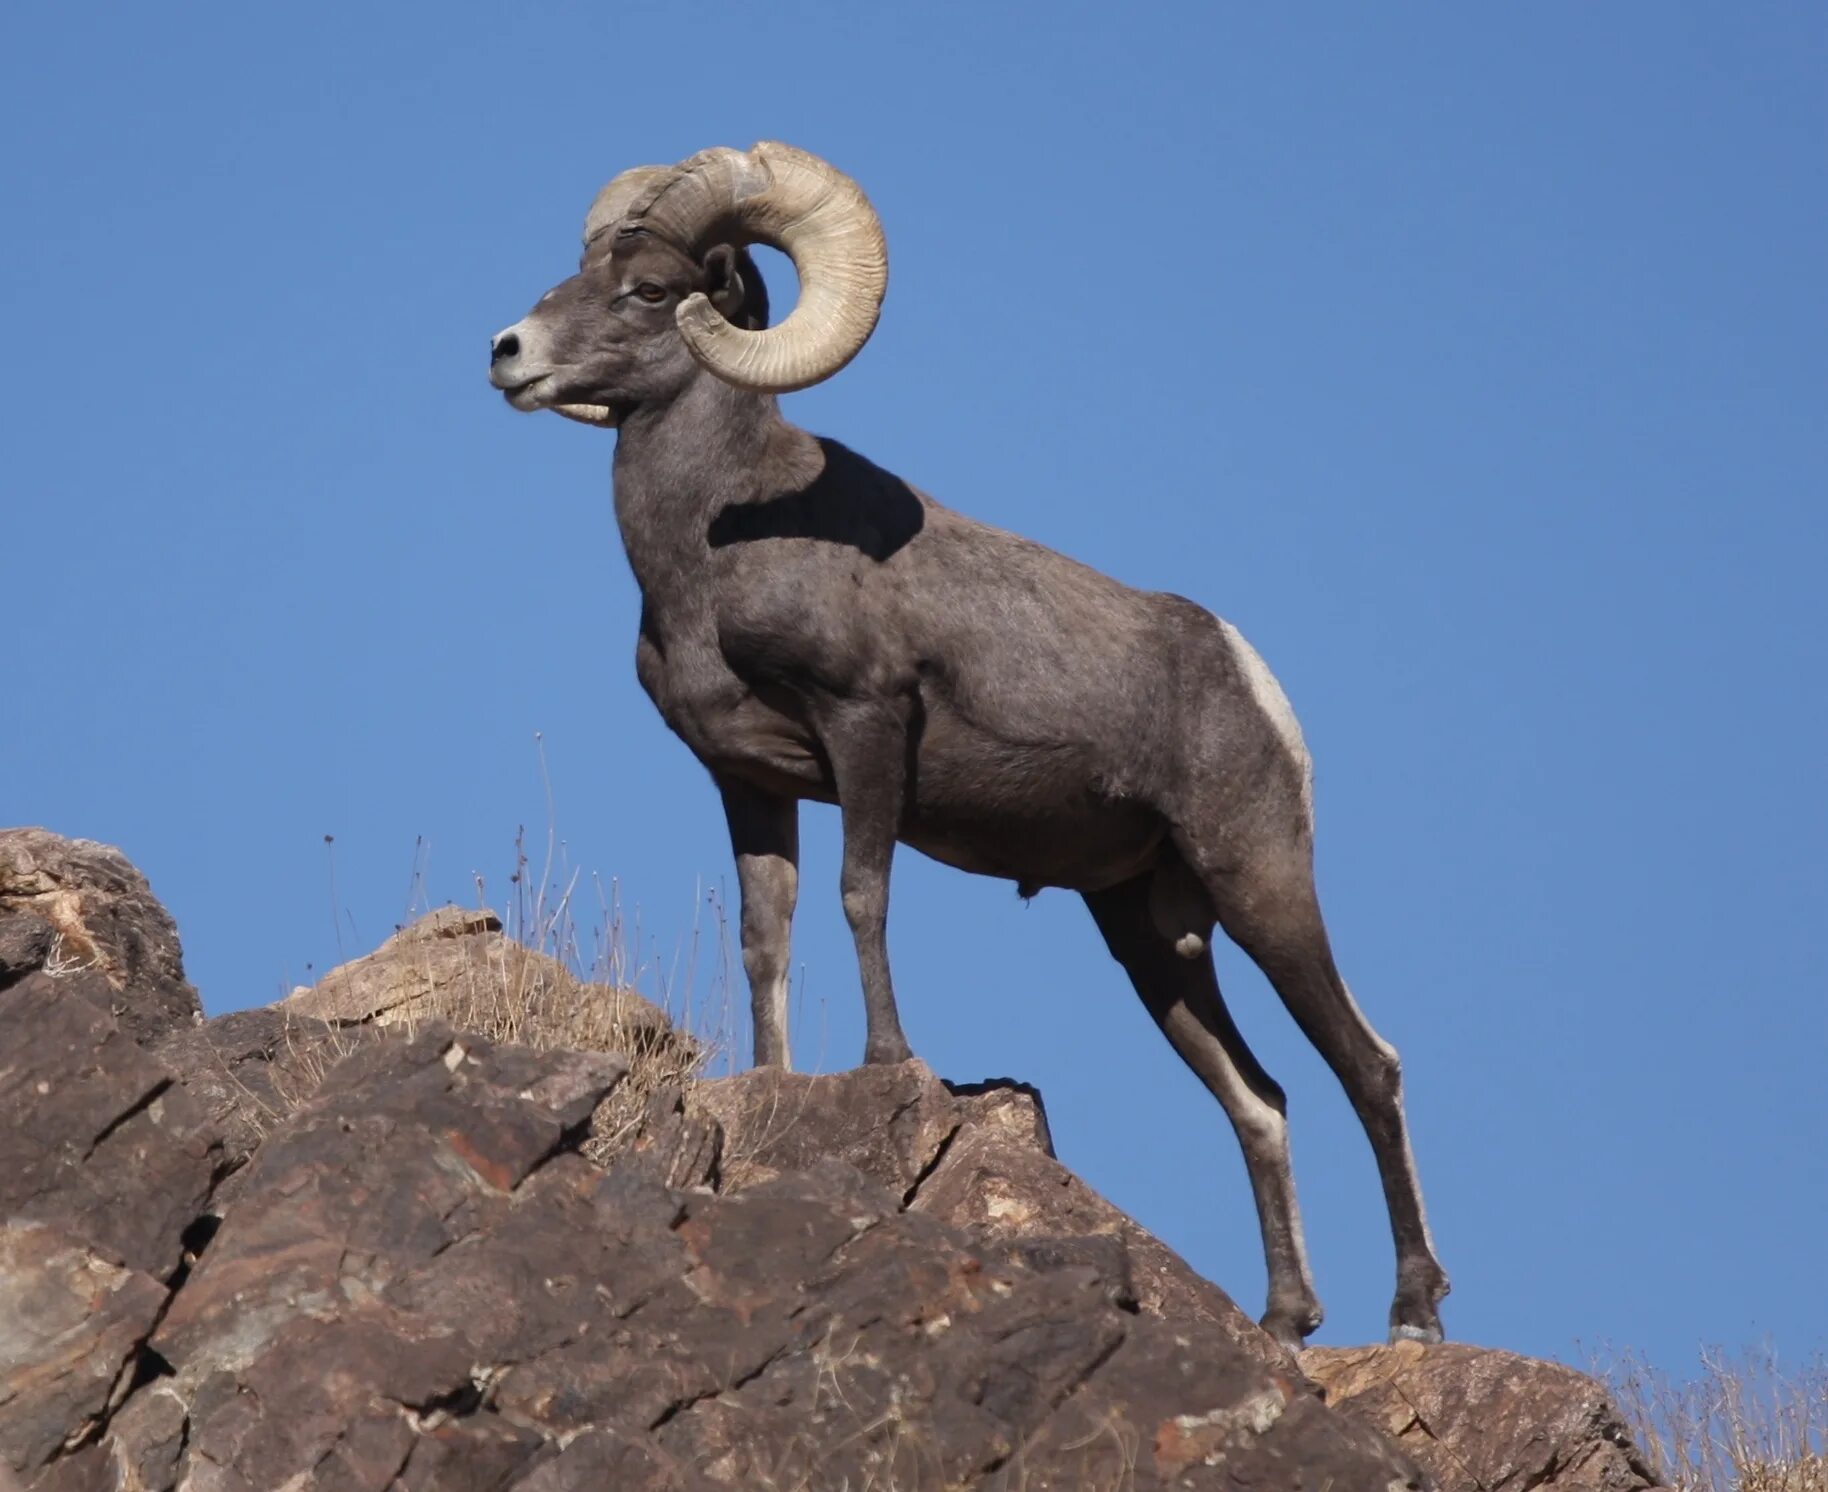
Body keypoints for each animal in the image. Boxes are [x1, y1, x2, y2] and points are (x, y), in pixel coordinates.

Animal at [489, 142, 1455, 1353]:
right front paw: (774, 1076)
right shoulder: (748, 783)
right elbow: (767, 936)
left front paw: (885, 1063)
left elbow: (861, 895)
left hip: (1259, 883)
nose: (507, 353)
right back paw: (1286, 1318)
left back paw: (1413, 1312)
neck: (713, 545)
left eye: (651, 290)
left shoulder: (864, 729)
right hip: (1146, 932)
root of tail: (1247, 674)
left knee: (1368, 1068)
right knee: (1258, 1098)